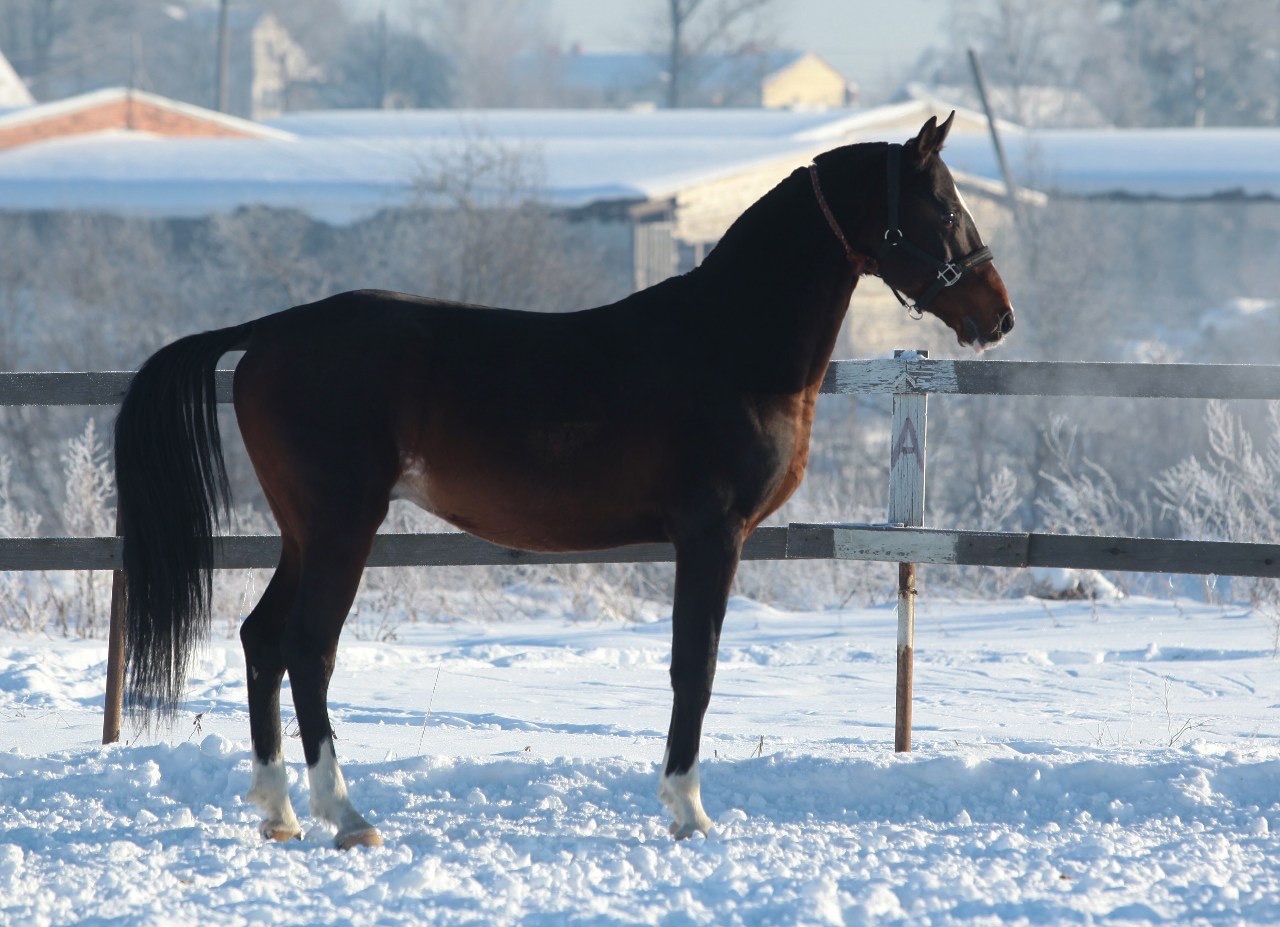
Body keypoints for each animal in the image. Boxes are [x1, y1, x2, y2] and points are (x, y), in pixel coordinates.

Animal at [114, 113, 1014, 850]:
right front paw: (689, 811)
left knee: (261, 639)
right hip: (341, 526)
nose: (998, 315)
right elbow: (696, 665)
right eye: (941, 209)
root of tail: (269, 331)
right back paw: (347, 815)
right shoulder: (711, 534)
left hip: (305, 531)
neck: (729, 341)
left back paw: (280, 813)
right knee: (308, 647)